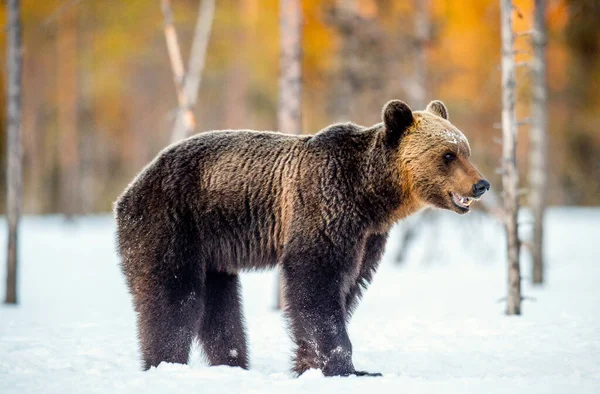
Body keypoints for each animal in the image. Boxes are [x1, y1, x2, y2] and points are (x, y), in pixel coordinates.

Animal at [115, 98, 490, 376]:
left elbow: (348, 287)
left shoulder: (367, 237)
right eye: (447, 155)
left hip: (214, 252)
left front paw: (311, 365)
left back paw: (233, 363)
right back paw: (165, 363)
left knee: (221, 305)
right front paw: (343, 367)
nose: (481, 184)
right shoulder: (323, 208)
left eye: (466, 149)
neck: (371, 197)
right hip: (172, 222)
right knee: (175, 296)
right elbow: (315, 285)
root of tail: (130, 188)